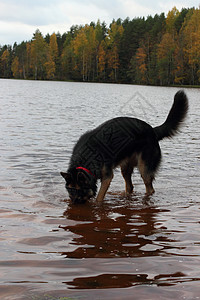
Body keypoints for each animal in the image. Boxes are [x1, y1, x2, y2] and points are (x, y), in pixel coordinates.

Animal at [60, 90, 188, 204]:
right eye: (70, 190)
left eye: (79, 190)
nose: (73, 204)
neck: (88, 156)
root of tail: (153, 130)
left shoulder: (107, 177)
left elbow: (99, 197)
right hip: (125, 169)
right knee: (130, 187)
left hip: (144, 168)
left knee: (150, 189)